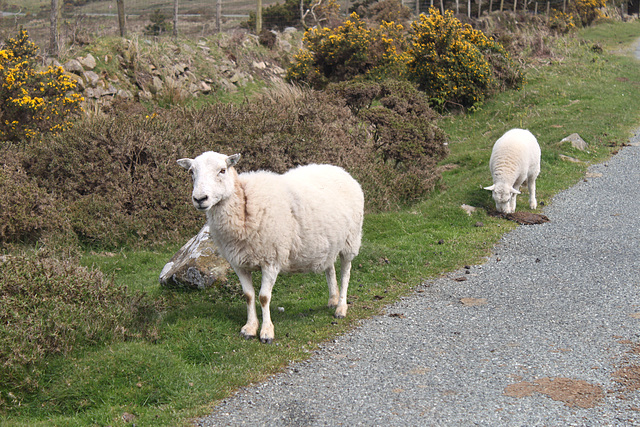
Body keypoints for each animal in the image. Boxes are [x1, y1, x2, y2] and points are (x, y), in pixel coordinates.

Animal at [178, 153, 362, 344]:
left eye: (222, 170)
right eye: (191, 172)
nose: (200, 199)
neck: (243, 206)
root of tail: (340, 170)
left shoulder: (271, 259)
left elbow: (263, 297)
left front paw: (267, 332)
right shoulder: (238, 263)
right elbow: (248, 295)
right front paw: (250, 328)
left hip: (351, 240)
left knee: (345, 273)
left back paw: (341, 308)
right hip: (328, 243)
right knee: (330, 268)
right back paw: (333, 299)